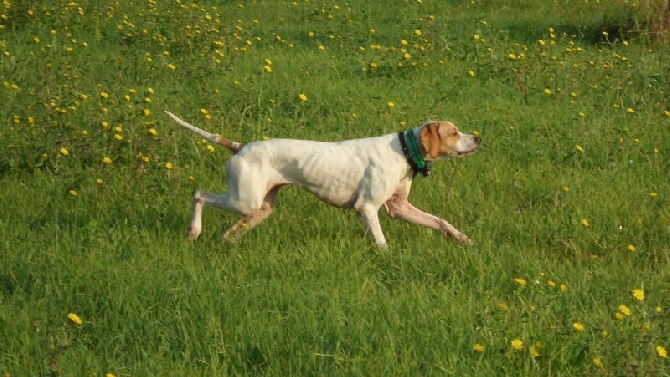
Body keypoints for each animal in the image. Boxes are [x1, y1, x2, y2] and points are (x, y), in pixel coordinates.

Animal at [168, 110, 484, 247]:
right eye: (454, 132)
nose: (479, 138)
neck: (405, 149)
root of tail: (240, 146)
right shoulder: (366, 208)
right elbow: (381, 242)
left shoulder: (399, 207)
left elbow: (441, 222)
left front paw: (463, 239)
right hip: (243, 200)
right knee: (198, 194)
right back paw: (193, 231)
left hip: (259, 208)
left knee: (229, 232)